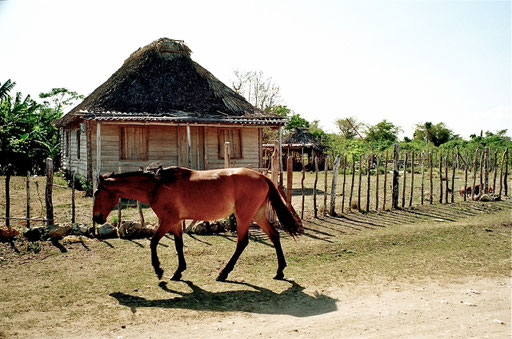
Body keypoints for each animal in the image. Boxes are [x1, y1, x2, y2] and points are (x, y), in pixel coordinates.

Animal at [92, 167, 302, 282]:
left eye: (96, 193)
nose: (97, 219)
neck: (158, 186)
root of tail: (262, 176)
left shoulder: (167, 220)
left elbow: (153, 242)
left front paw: (159, 270)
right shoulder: (175, 222)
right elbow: (178, 245)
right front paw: (178, 272)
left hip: (244, 216)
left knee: (242, 243)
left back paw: (223, 273)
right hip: (257, 214)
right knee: (274, 235)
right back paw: (279, 271)